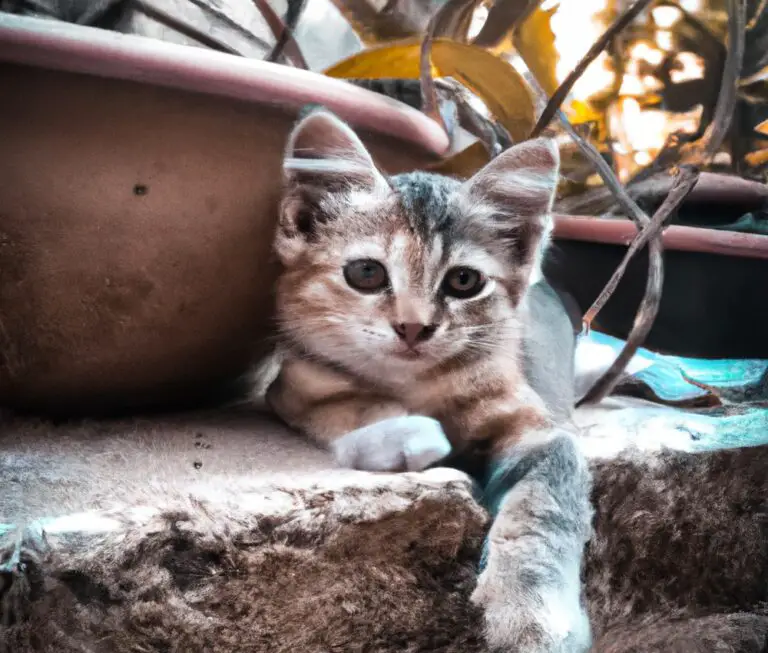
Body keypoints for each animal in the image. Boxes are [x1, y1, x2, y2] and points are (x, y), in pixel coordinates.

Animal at [264, 108, 592, 652]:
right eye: (367, 273)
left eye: (464, 281)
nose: (414, 327)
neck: (417, 384)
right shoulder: (294, 387)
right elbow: (347, 406)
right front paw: (404, 436)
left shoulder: (542, 432)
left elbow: (542, 512)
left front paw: (532, 617)